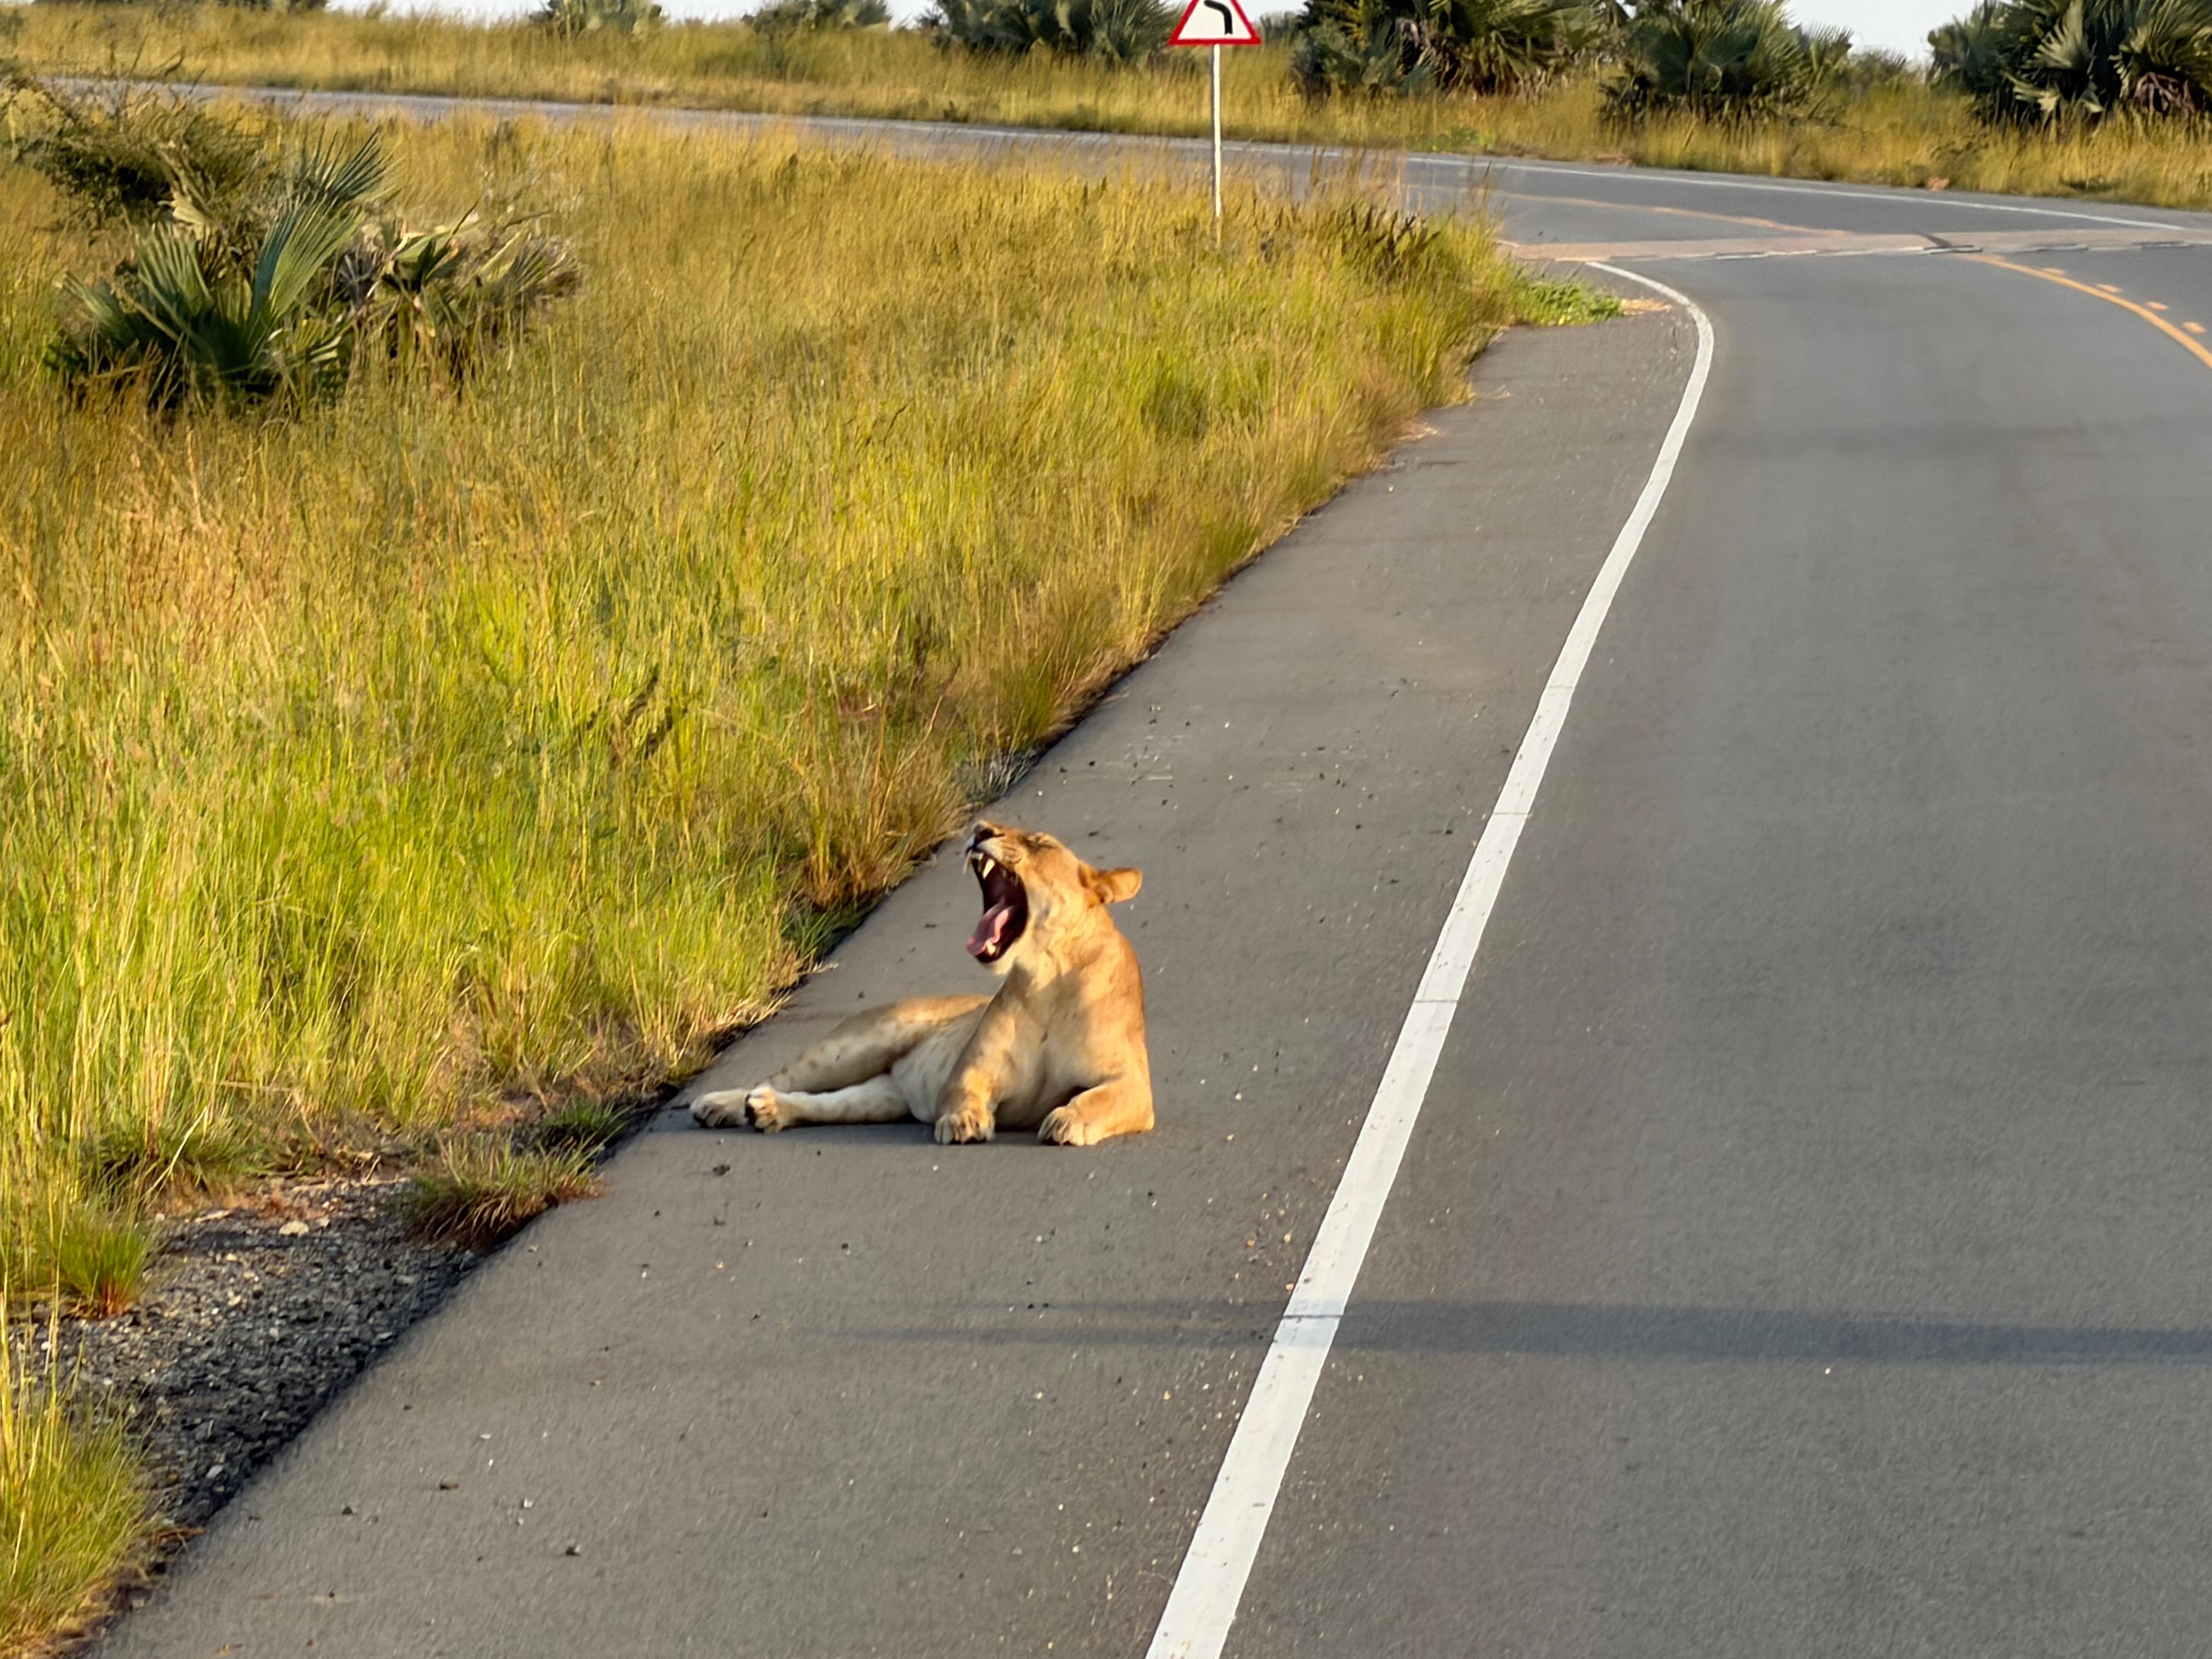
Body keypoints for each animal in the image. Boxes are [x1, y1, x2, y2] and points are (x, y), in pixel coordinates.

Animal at [690, 821, 1152, 1146]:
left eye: (1041, 843)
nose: (981, 830)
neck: (1047, 980)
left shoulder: (1135, 1083)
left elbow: (1100, 1097)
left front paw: (1067, 1119)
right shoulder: (971, 1068)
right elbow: (961, 1091)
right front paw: (965, 1121)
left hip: (879, 1098)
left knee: (825, 1103)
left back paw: (766, 1112)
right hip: (855, 1045)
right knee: (781, 1077)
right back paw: (720, 1104)